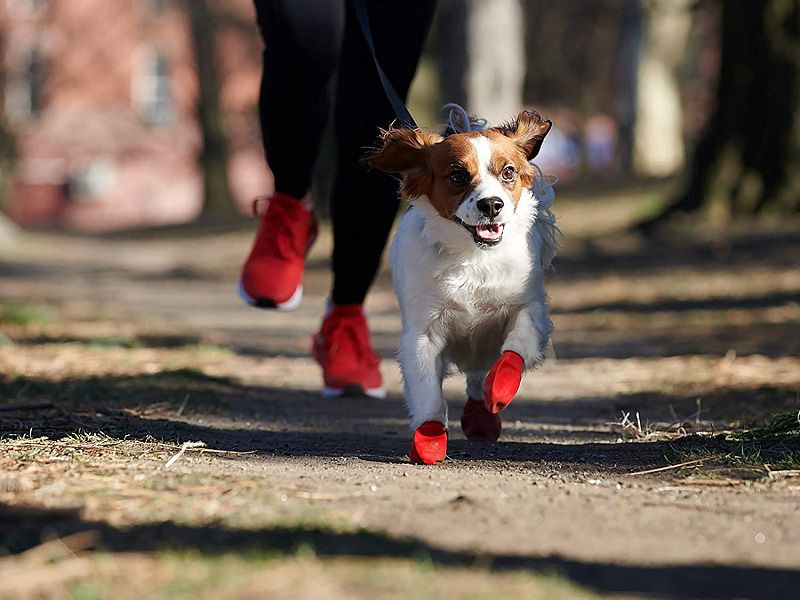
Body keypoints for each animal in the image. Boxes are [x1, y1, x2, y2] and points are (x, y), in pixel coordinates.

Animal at [368, 111, 556, 464]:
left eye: (508, 172)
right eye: (457, 175)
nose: (491, 204)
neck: (473, 257)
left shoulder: (528, 308)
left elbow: (516, 348)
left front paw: (501, 387)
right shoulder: (423, 333)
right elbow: (428, 392)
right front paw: (429, 437)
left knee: (479, 376)